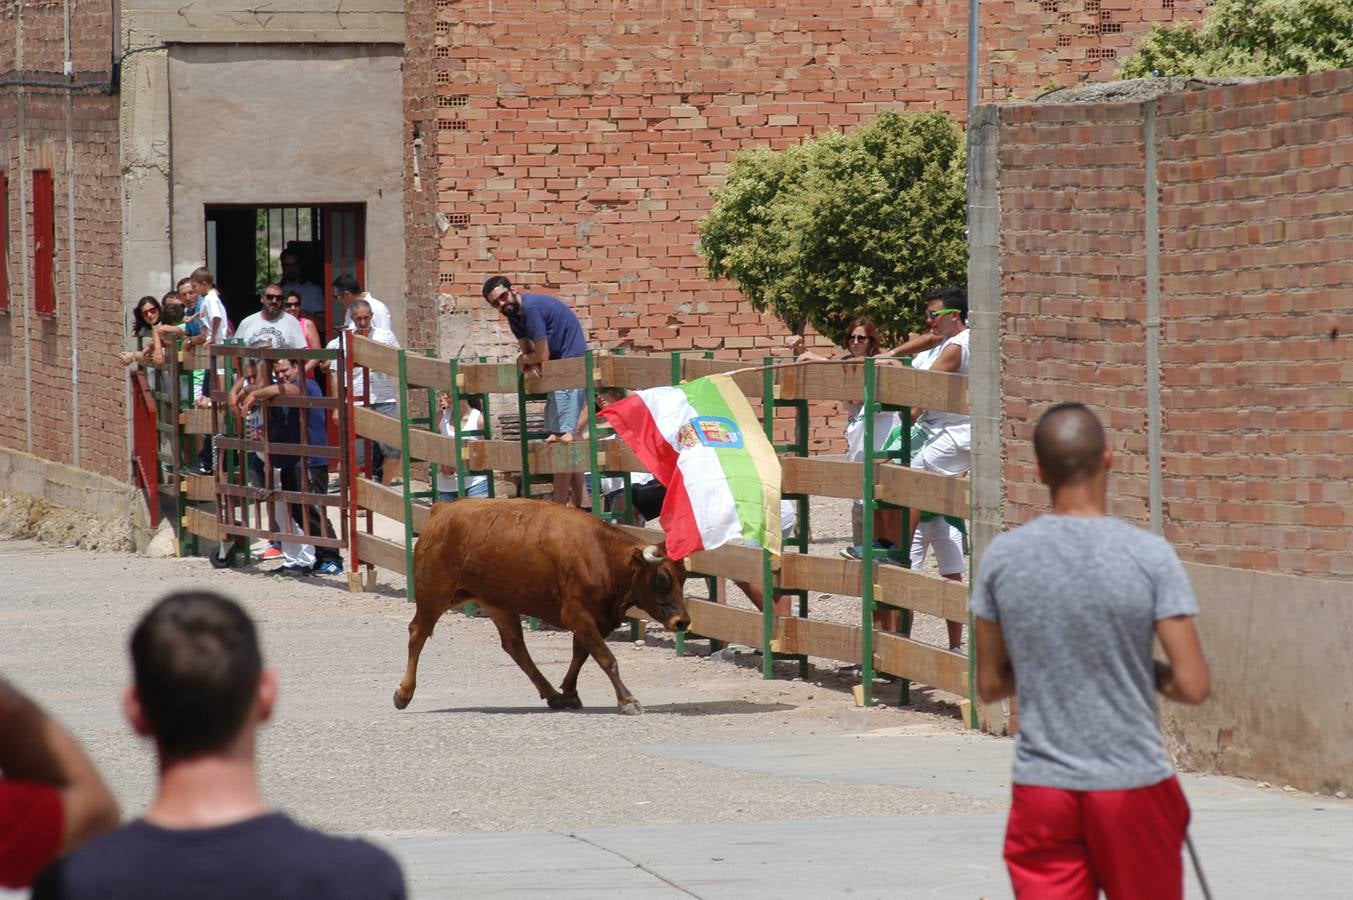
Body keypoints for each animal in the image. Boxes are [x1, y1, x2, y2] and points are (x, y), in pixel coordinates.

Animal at [389, 495, 687, 714]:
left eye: (684, 577)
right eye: (661, 578)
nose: (683, 621)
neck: (603, 555)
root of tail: (441, 511)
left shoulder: (592, 619)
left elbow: (581, 654)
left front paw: (569, 692)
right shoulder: (578, 615)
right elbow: (605, 658)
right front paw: (627, 700)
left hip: (499, 603)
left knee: (515, 646)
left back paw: (552, 694)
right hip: (434, 594)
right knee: (418, 634)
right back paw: (404, 693)